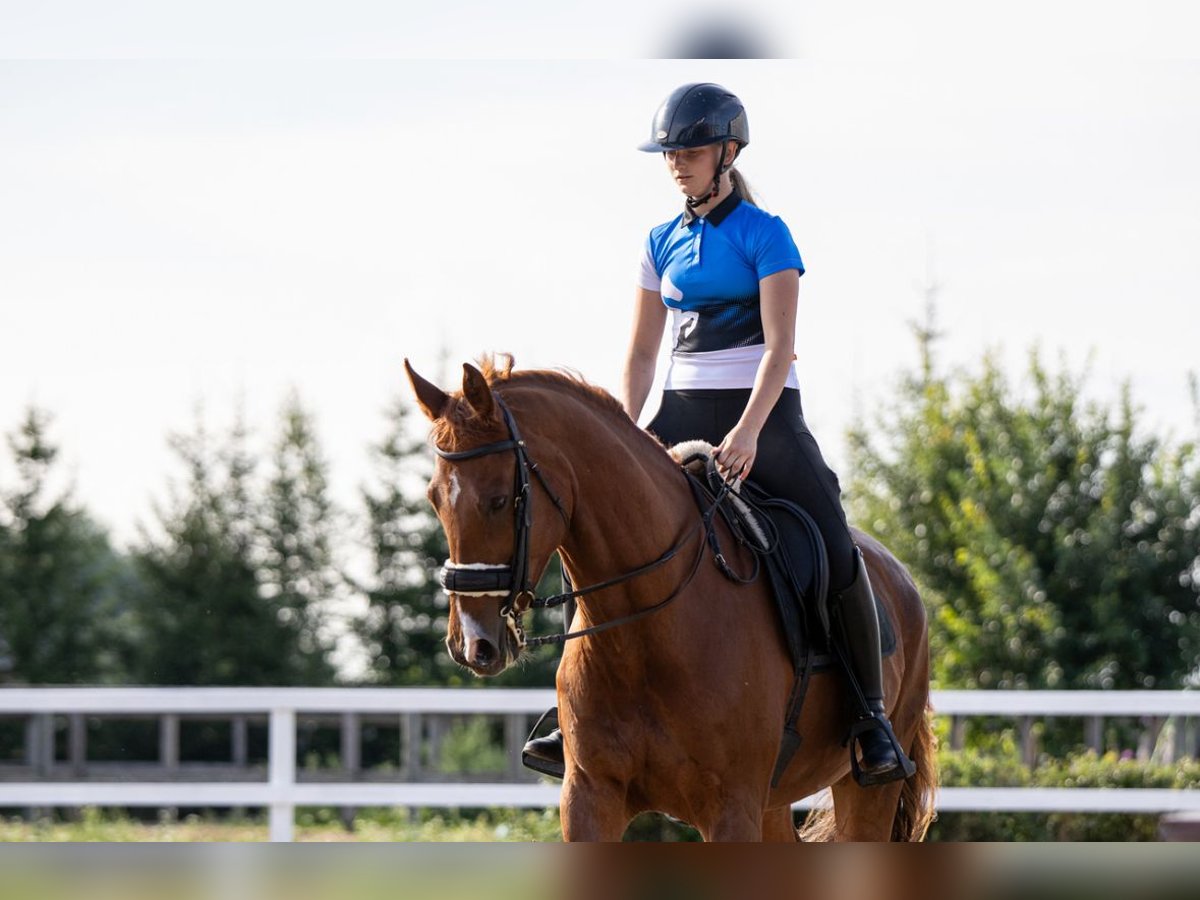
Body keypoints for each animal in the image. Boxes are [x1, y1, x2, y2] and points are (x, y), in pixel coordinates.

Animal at [403, 355, 936, 844]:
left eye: (498, 500)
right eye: (434, 499)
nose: (472, 643)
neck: (647, 633)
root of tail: (903, 577)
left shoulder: (731, 809)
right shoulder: (590, 798)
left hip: (865, 792)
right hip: (773, 803)